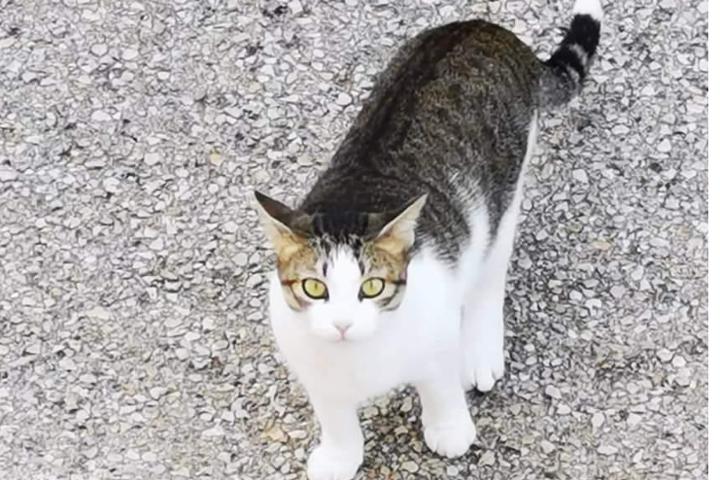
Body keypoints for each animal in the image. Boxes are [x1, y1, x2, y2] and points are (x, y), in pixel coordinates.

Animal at [254, 1, 602, 478]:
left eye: (372, 287)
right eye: (313, 287)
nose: (342, 324)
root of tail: (484, 27)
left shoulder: (435, 334)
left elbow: (439, 386)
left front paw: (449, 430)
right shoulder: (312, 366)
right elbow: (335, 415)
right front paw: (340, 456)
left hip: (504, 198)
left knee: (489, 275)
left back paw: (481, 348)